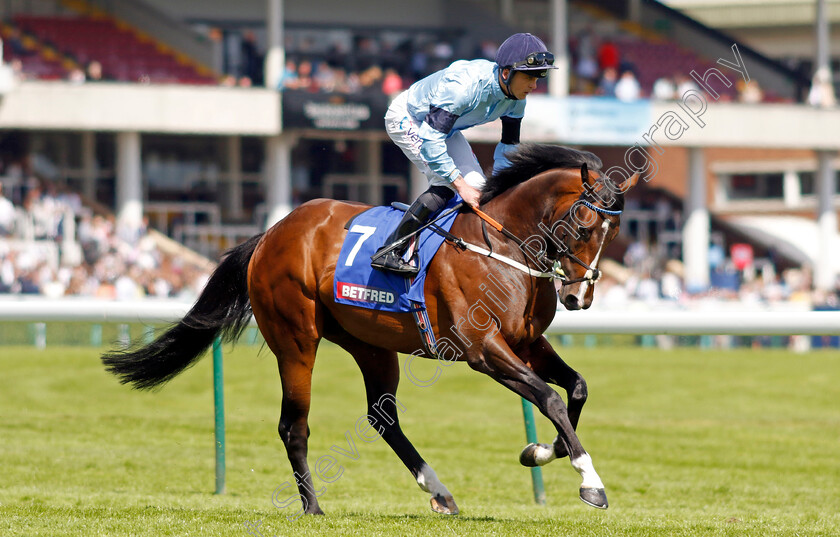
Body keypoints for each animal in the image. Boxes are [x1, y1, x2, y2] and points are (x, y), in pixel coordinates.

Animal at [103, 143, 636, 516]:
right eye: (584, 226)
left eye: (613, 232)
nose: (579, 298)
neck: (502, 246)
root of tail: (271, 233)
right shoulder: (483, 350)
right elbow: (548, 399)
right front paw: (590, 481)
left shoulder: (526, 341)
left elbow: (577, 389)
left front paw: (543, 450)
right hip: (295, 339)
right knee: (293, 425)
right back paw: (313, 506)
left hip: (370, 344)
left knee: (384, 419)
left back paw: (439, 492)